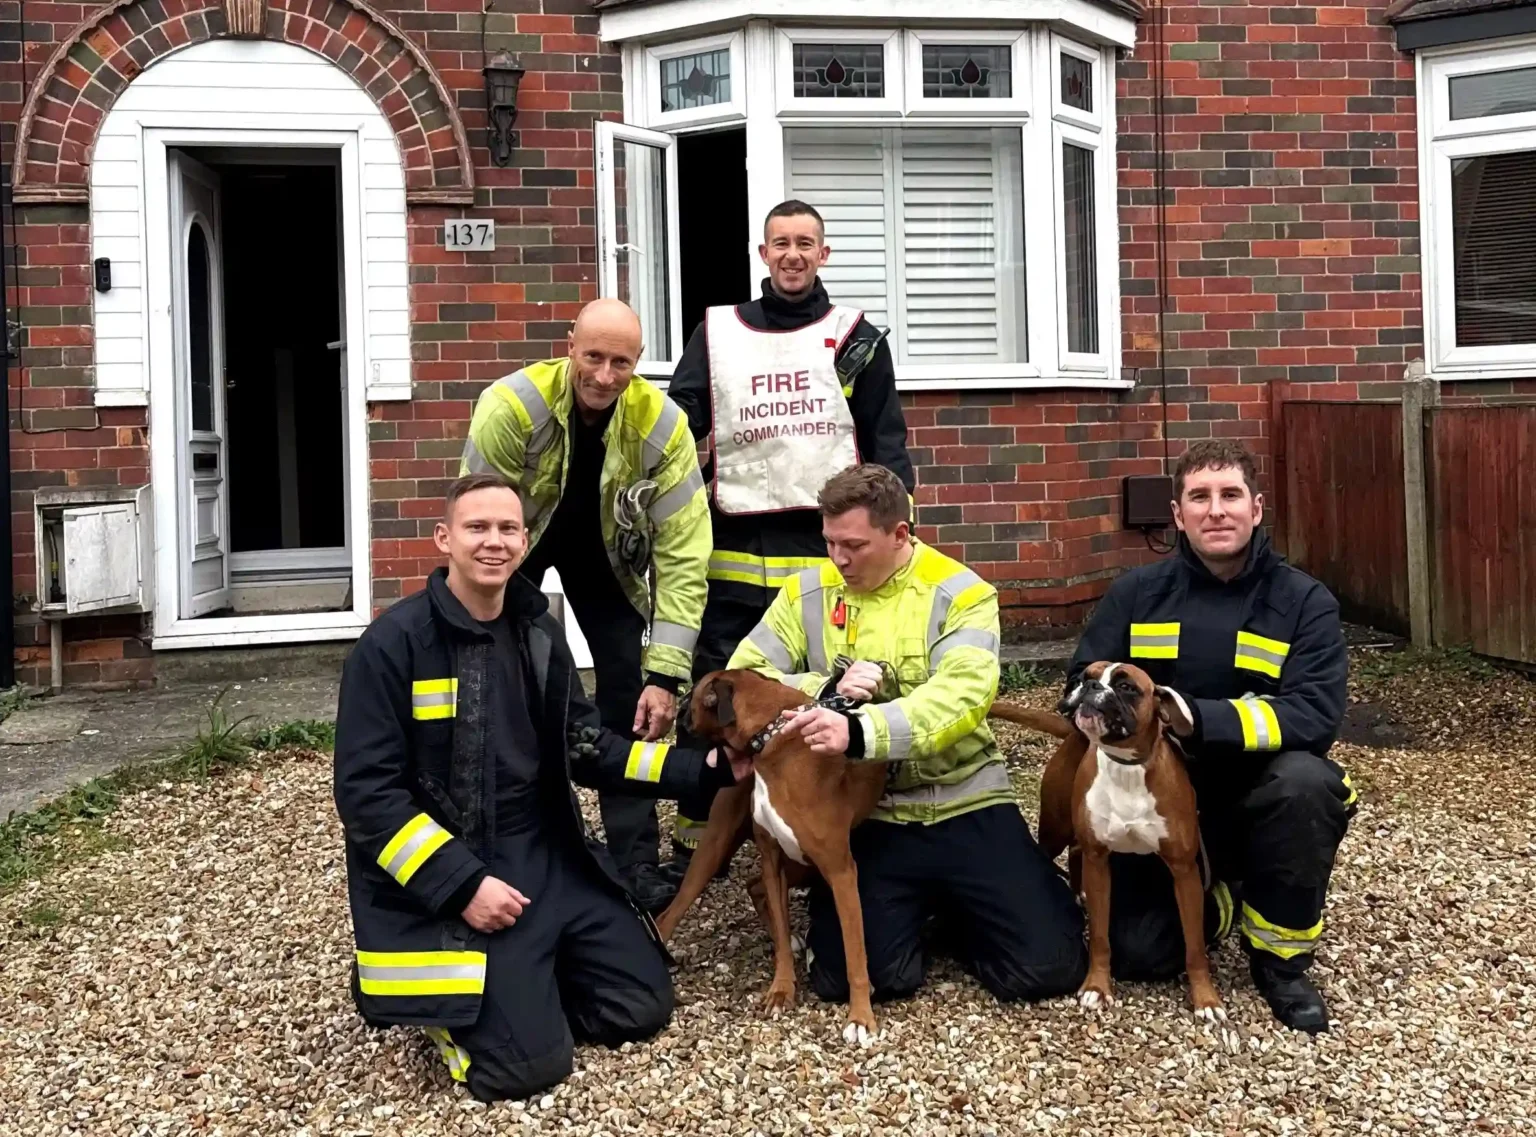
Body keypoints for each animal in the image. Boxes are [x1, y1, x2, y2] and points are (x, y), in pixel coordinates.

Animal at [1050, 657, 1228, 1020]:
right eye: (1084, 676)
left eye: (1125, 686)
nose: (1089, 686)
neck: (1126, 766)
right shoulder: (1098, 863)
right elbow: (1100, 936)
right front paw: (1097, 986)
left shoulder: (1185, 873)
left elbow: (1194, 946)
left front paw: (1206, 998)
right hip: (1055, 829)